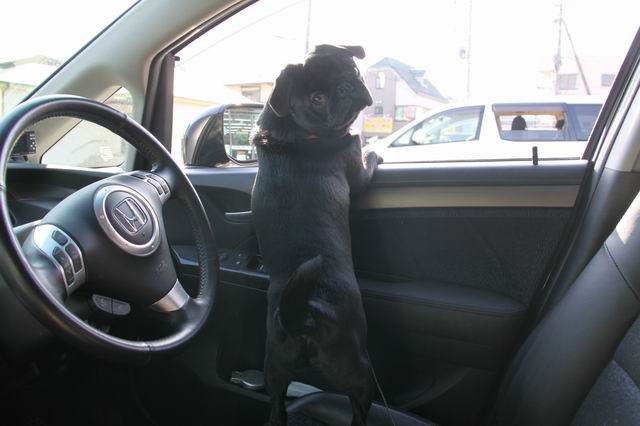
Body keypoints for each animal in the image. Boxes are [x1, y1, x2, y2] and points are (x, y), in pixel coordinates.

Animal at [251, 44, 381, 426]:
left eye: (351, 69)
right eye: (317, 99)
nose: (345, 88)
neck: (294, 132)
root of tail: (304, 318)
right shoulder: (354, 165)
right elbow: (366, 160)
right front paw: (377, 150)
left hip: (275, 368)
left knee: (277, 408)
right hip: (357, 367)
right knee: (358, 405)